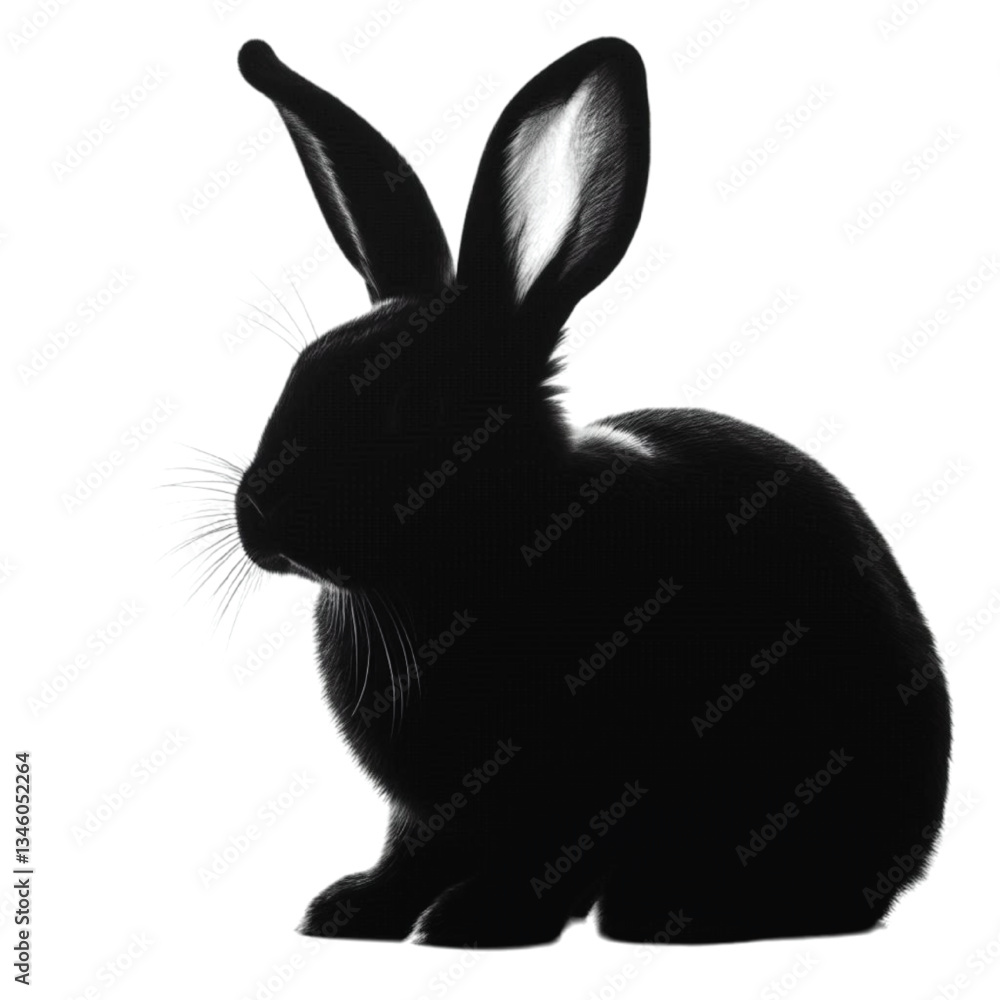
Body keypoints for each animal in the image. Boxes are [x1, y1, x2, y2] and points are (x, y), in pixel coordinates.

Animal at [232, 36, 951, 947]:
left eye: (408, 407)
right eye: (298, 374)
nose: (258, 517)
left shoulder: (593, 778)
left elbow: (553, 856)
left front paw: (478, 920)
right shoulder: (424, 811)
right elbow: (410, 851)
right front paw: (349, 911)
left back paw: (672, 909)